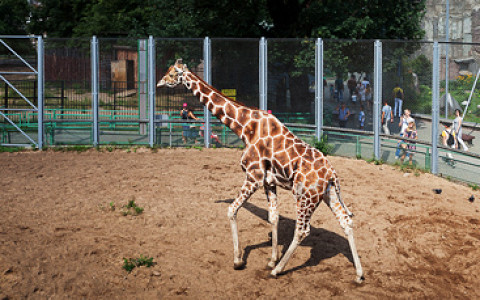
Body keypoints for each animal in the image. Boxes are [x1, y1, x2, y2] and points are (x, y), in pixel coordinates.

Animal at [158, 59, 364, 284]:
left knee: (302, 230)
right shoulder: (269, 182)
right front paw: (271, 260)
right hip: (327, 193)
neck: (245, 127)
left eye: (171, 74)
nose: (159, 83)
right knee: (346, 221)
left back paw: (279, 271)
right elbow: (273, 217)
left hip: (304, 196)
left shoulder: (253, 176)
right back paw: (359, 275)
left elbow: (231, 210)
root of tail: (332, 174)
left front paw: (239, 261)